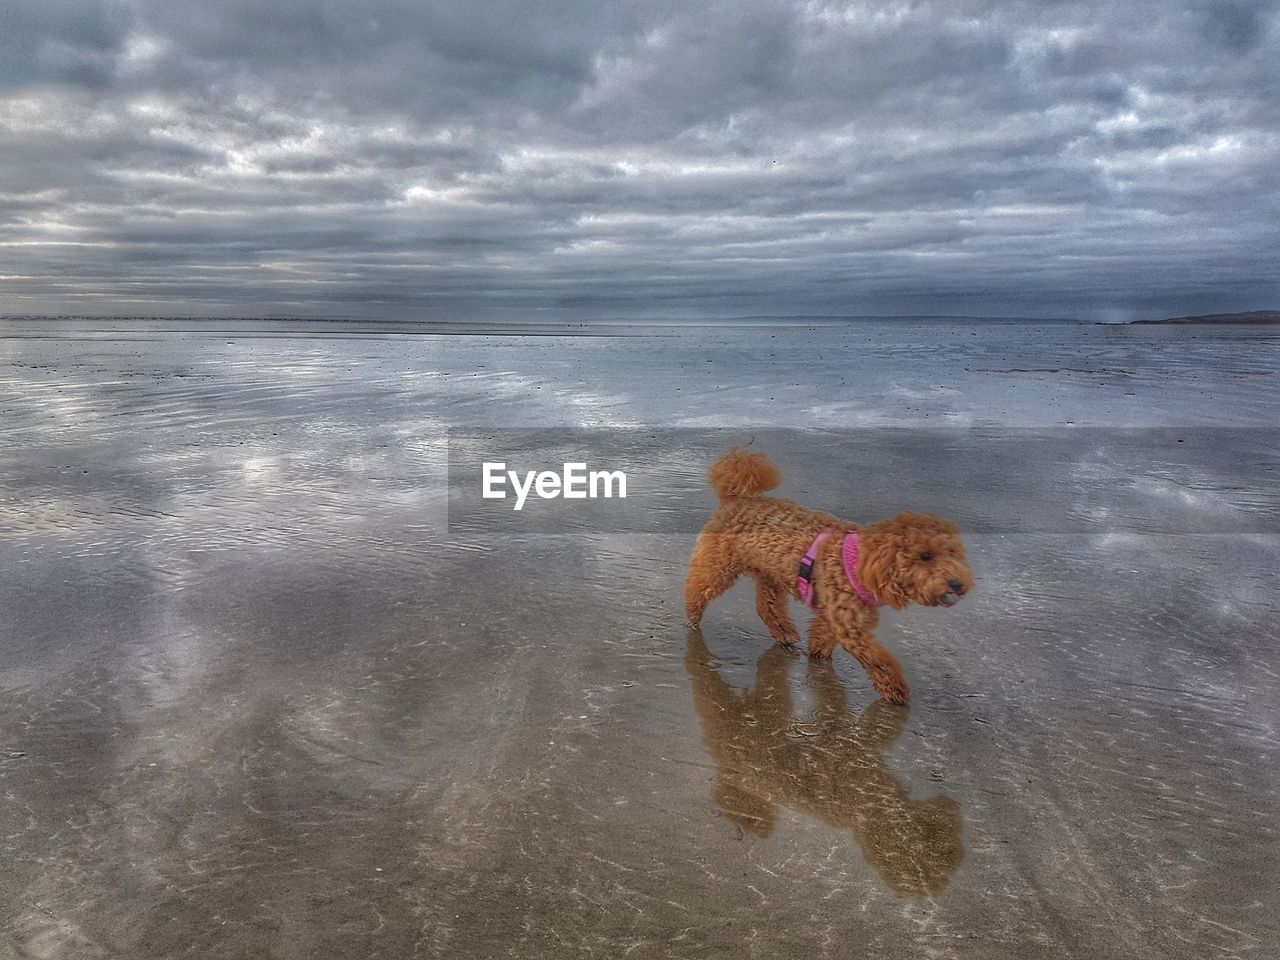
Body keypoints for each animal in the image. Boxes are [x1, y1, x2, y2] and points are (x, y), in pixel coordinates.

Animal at [686, 448, 972, 701]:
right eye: (926, 556)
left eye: (953, 553)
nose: (957, 584)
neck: (860, 561)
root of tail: (735, 499)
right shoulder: (850, 627)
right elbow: (878, 660)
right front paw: (895, 690)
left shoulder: (833, 614)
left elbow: (823, 638)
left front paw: (818, 658)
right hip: (719, 566)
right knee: (697, 589)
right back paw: (692, 618)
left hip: (770, 574)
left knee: (767, 608)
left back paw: (785, 635)